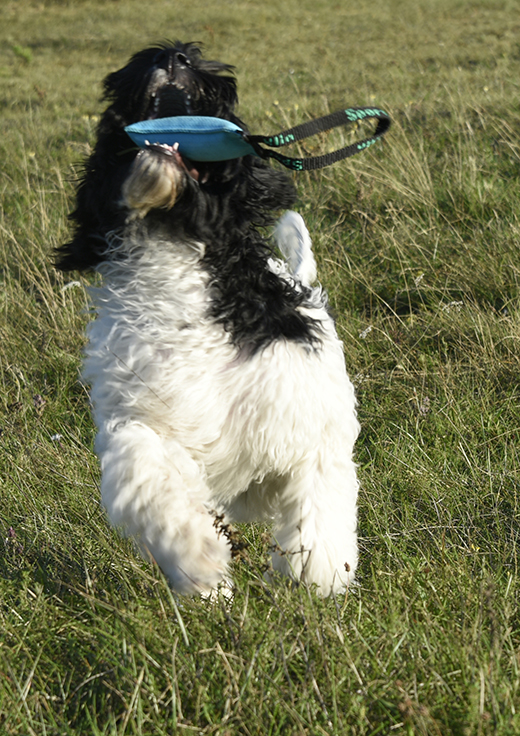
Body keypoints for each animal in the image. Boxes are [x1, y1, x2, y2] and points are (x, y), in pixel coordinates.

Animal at [54, 40, 360, 596]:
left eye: (219, 95)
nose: (173, 54)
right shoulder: (138, 422)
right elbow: (152, 480)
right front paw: (200, 565)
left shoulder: (307, 429)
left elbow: (317, 512)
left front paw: (314, 586)